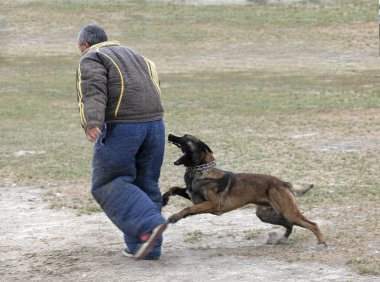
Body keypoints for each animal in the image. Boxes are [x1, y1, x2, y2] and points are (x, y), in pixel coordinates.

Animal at [162, 133, 326, 246]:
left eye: (185, 137)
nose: (169, 135)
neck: (201, 170)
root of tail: (283, 183)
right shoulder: (195, 198)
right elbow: (174, 188)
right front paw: (164, 199)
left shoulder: (212, 204)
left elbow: (188, 208)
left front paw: (175, 217)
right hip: (266, 215)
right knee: (290, 225)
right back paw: (281, 239)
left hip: (288, 212)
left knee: (312, 224)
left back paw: (321, 243)